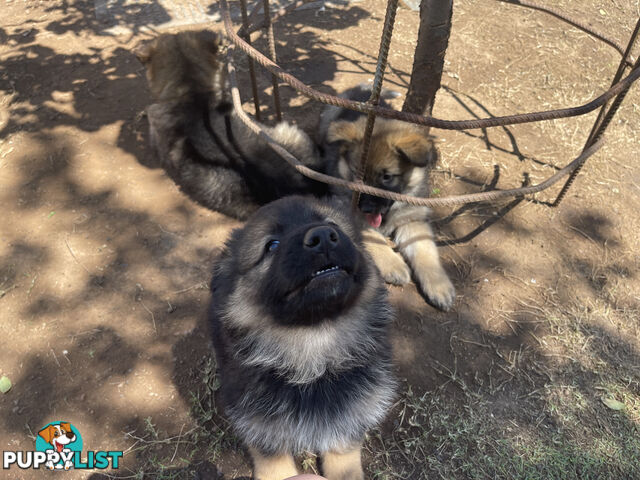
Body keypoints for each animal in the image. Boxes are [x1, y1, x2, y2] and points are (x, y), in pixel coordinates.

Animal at [208, 196, 396, 480]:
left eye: (332, 224)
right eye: (272, 245)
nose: (323, 236)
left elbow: (344, 463)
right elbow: (276, 468)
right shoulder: (264, 434)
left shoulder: (346, 425)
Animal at [320, 86, 456, 312]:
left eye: (387, 177)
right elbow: (374, 237)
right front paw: (394, 264)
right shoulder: (349, 213)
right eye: (356, 174)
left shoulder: (413, 220)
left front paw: (439, 285)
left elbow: (425, 251)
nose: (366, 209)